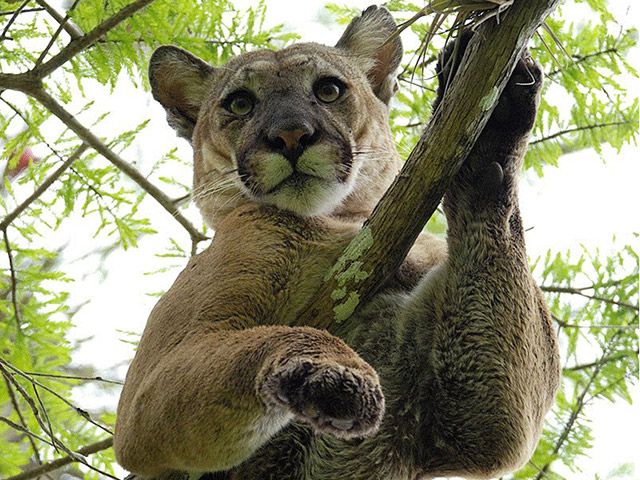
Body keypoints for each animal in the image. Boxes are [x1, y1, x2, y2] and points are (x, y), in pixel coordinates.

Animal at [114, 4, 560, 480]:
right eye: (240, 103)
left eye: (328, 90)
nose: (291, 135)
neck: (336, 220)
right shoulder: (149, 387)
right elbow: (273, 338)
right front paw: (329, 372)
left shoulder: (476, 427)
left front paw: (495, 116)